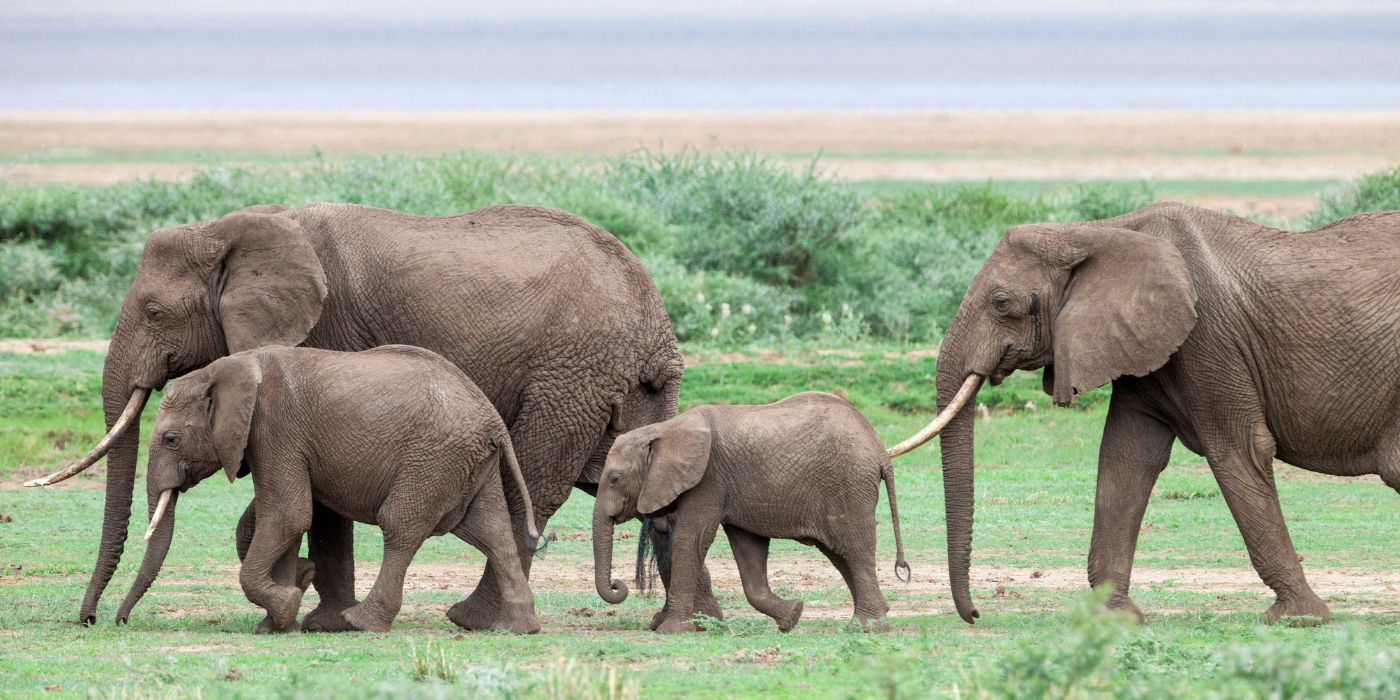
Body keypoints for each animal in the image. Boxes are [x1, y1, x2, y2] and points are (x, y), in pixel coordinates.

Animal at [132, 344, 540, 635]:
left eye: (170, 439)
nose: (121, 619)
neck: (225, 369)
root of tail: (492, 417)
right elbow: (287, 520)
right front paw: (277, 621)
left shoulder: (274, 428)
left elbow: (287, 514)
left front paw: (287, 604)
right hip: (467, 461)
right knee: (490, 531)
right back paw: (517, 628)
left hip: (433, 458)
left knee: (400, 526)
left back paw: (360, 622)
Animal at [590, 392, 907, 632]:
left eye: (615, 479)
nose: (618, 585)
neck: (665, 430)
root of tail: (880, 451)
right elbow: (747, 549)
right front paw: (792, 616)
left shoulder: (708, 479)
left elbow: (690, 540)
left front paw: (671, 630)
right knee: (840, 555)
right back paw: (875, 616)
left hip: (848, 485)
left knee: (853, 550)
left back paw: (866, 627)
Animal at [890, 203, 1400, 624]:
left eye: (1000, 304)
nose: (976, 614)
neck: (1096, 231)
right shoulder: (1140, 343)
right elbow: (1126, 459)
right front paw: (1114, 617)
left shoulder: (1209, 339)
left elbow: (1239, 450)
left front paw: (1299, 618)